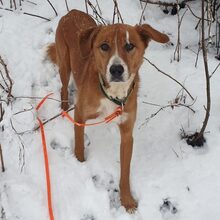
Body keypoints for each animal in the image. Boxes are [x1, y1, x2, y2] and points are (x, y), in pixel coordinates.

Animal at [47, 9, 169, 212]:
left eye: (129, 46)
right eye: (104, 46)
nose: (116, 69)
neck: (114, 94)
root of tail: (72, 12)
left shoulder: (127, 134)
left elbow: (125, 171)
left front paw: (127, 200)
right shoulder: (80, 115)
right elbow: (79, 147)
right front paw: (80, 165)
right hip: (65, 64)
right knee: (64, 87)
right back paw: (63, 108)